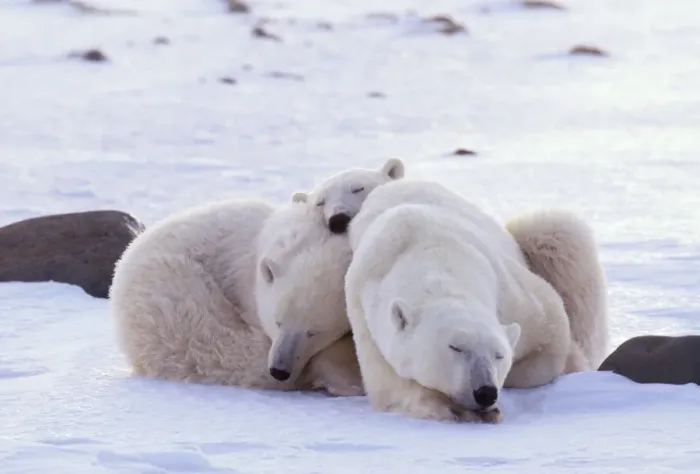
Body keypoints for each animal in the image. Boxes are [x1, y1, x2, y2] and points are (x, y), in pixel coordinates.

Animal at [344, 180, 584, 422]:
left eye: (499, 355)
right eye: (456, 347)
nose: (485, 392)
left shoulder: (509, 290)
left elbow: (552, 329)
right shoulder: (366, 317)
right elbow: (390, 388)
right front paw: (451, 407)